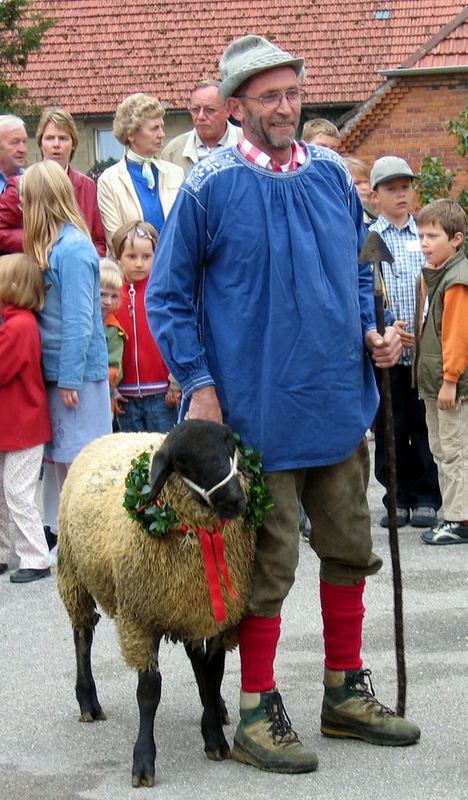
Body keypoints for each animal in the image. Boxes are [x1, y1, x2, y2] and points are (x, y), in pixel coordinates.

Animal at [57, 422, 260, 784]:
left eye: (230, 449)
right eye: (184, 461)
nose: (236, 500)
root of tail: (107, 436)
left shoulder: (215, 616)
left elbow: (213, 676)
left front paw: (215, 739)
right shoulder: (140, 619)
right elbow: (149, 692)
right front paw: (143, 762)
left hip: (185, 607)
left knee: (196, 662)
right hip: (73, 573)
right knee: (83, 637)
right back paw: (88, 702)